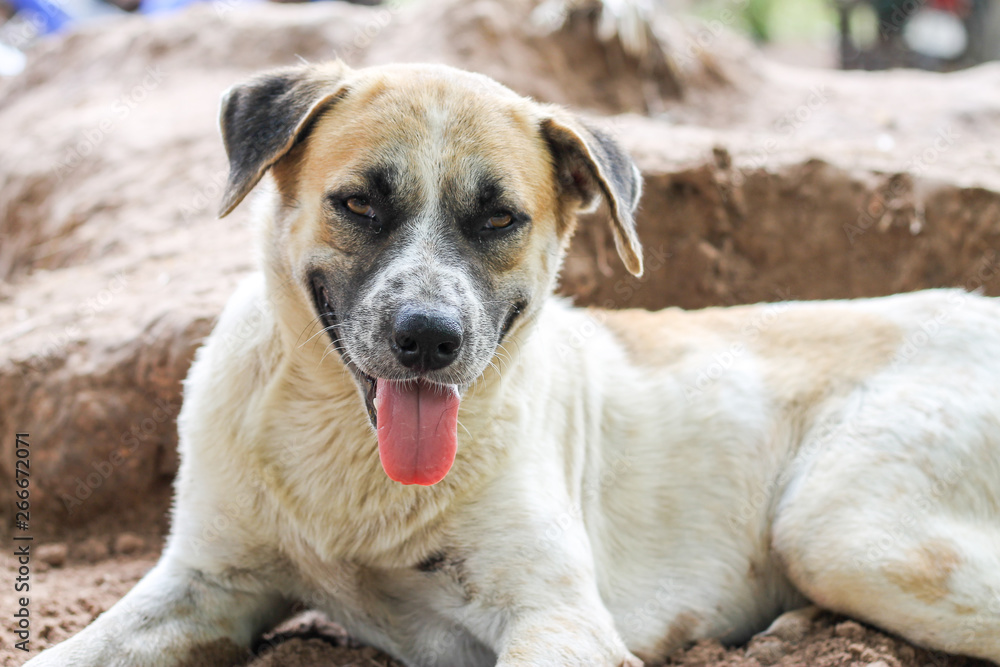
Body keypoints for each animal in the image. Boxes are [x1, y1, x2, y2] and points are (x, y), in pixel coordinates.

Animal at [27, 62, 1000, 667]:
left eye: (500, 219)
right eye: (359, 203)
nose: (428, 338)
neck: (348, 459)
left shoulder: (555, 614)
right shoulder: (204, 584)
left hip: (845, 529)